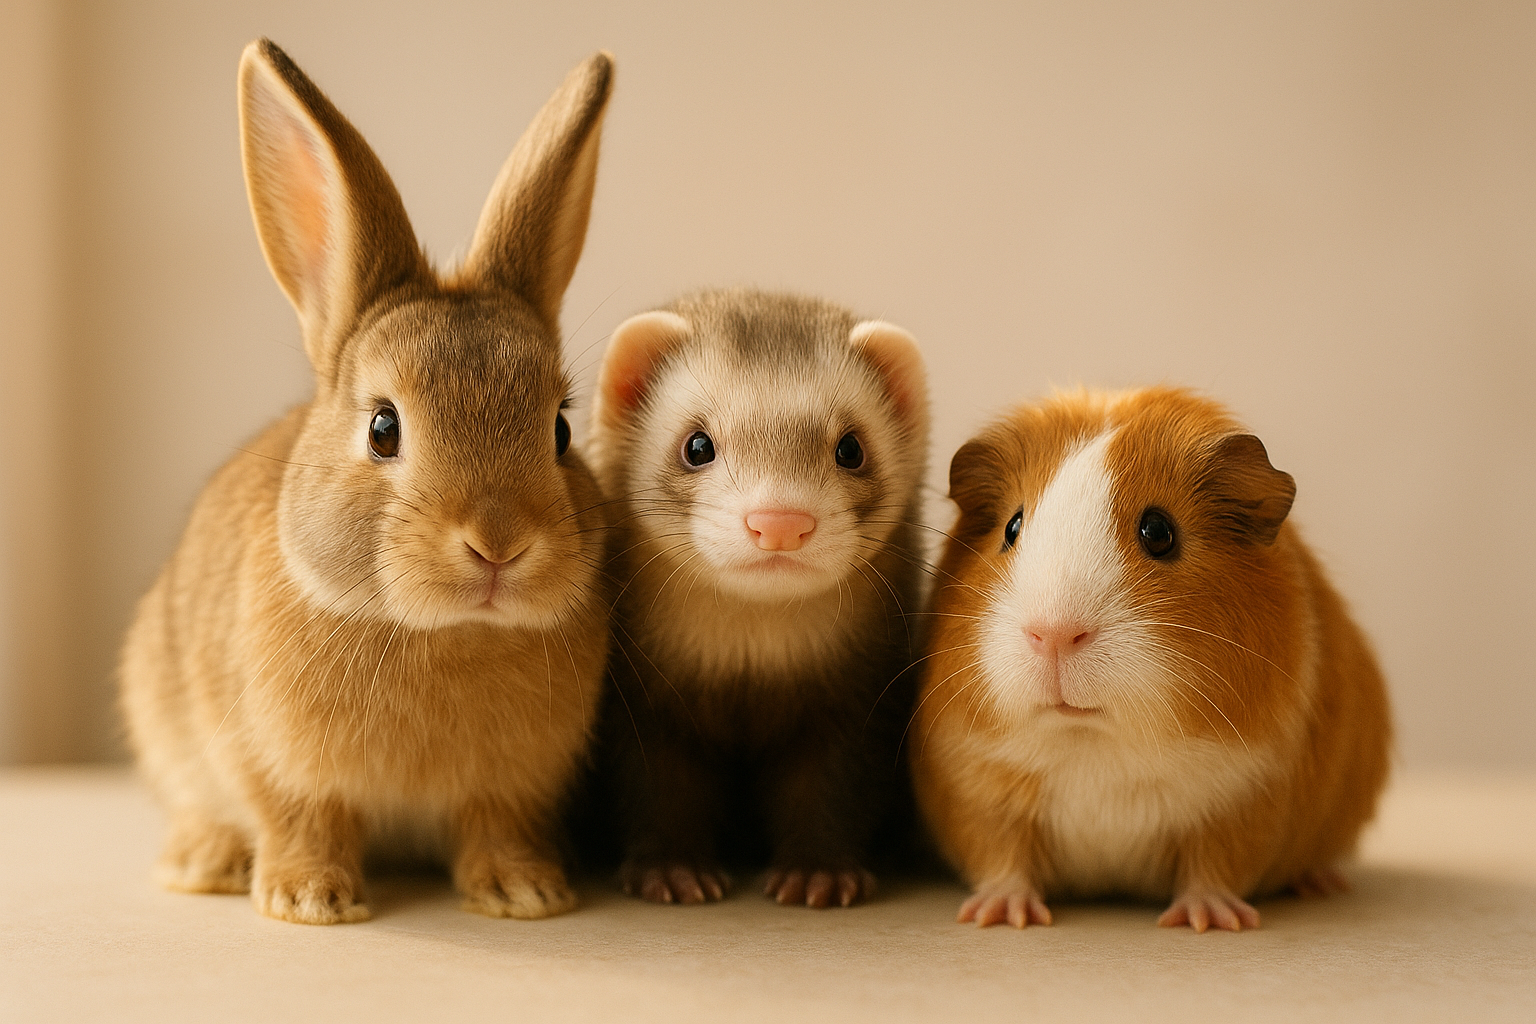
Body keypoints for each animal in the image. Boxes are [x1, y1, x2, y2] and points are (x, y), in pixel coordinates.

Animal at [119, 39, 616, 925]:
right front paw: (310, 901)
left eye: (559, 429)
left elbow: (497, 828)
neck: (444, 633)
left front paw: (527, 894)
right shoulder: (271, 764)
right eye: (384, 428)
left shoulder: (515, 789)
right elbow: (300, 819)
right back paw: (203, 863)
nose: (498, 544)